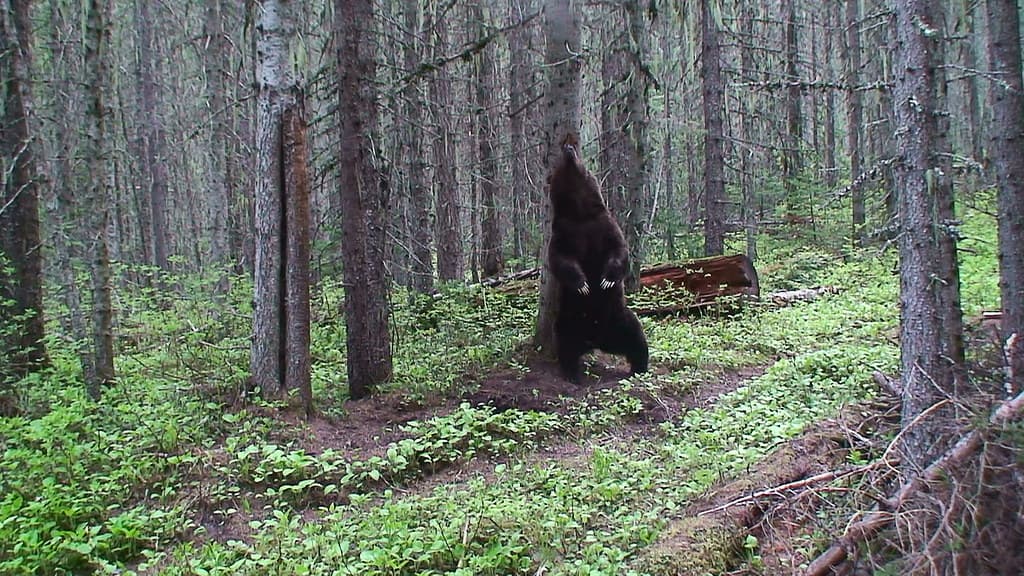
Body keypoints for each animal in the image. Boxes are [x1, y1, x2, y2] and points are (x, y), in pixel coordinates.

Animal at [546, 133, 649, 383]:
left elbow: (619, 249)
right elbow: (560, 258)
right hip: (570, 319)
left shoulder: (603, 224)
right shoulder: (564, 231)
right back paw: (573, 374)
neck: (579, 212)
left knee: (636, 336)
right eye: (562, 151)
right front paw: (582, 284)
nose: (569, 149)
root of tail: (596, 340)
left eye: (575, 150)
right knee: (566, 343)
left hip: (619, 317)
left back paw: (639, 367)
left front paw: (606, 279)